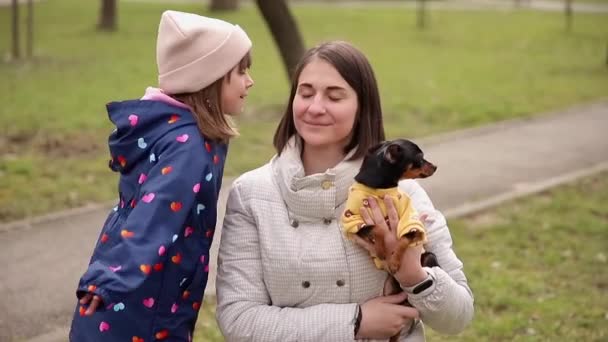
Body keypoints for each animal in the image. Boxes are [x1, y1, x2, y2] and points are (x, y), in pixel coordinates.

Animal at [342, 138, 436, 274]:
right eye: (420, 158)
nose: (435, 167)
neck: (380, 188)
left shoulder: (410, 224)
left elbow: (403, 239)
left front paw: (394, 263)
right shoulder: (354, 221)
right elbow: (377, 228)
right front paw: (380, 250)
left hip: (429, 257)